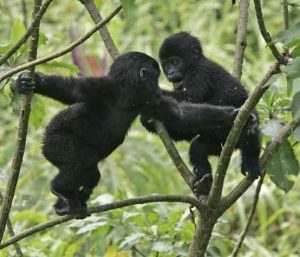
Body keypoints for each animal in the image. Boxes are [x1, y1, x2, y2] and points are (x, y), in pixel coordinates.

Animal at [14, 51, 239, 215]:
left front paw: (230, 114)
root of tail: (44, 142)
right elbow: (72, 91)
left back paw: (68, 204)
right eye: (156, 75)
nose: (159, 87)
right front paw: (30, 83)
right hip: (55, 142)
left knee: (91, 172)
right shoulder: (103, 87)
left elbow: (180, 114)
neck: (128, 93)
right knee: (82, 161)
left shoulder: (150, 101)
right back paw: (61, 190)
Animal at [141, 32, 260, 194]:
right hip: (219, 144)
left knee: (251, 134)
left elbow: (191, 99)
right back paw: (205, 182)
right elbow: (186, 129)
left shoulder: (200, 73)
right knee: (198, 149)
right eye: (166, 65)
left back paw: (251, 161)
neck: (194, 64)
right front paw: (147, 120)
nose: (170, 73)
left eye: (175, 62)